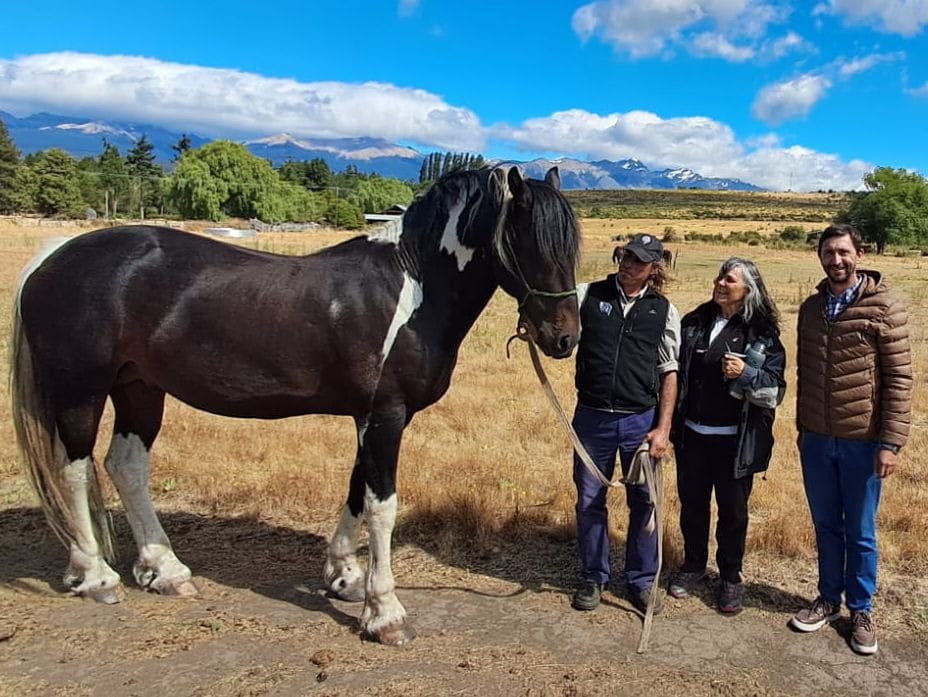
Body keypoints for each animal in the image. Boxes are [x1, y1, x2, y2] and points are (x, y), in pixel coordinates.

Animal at [10, 165, 581, 645]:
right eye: (527, 242)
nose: (563, 339)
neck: (411, 289)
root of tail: (53, 257)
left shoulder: (367, 415)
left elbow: (356, 491)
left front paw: (344, 576)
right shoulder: (387, 414)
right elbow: (382, 506)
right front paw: (385, 612)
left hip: (140, 388)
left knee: (125, 466)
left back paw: (164, 571)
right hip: (81, 390)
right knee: (74, 470)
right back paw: (95, 575)